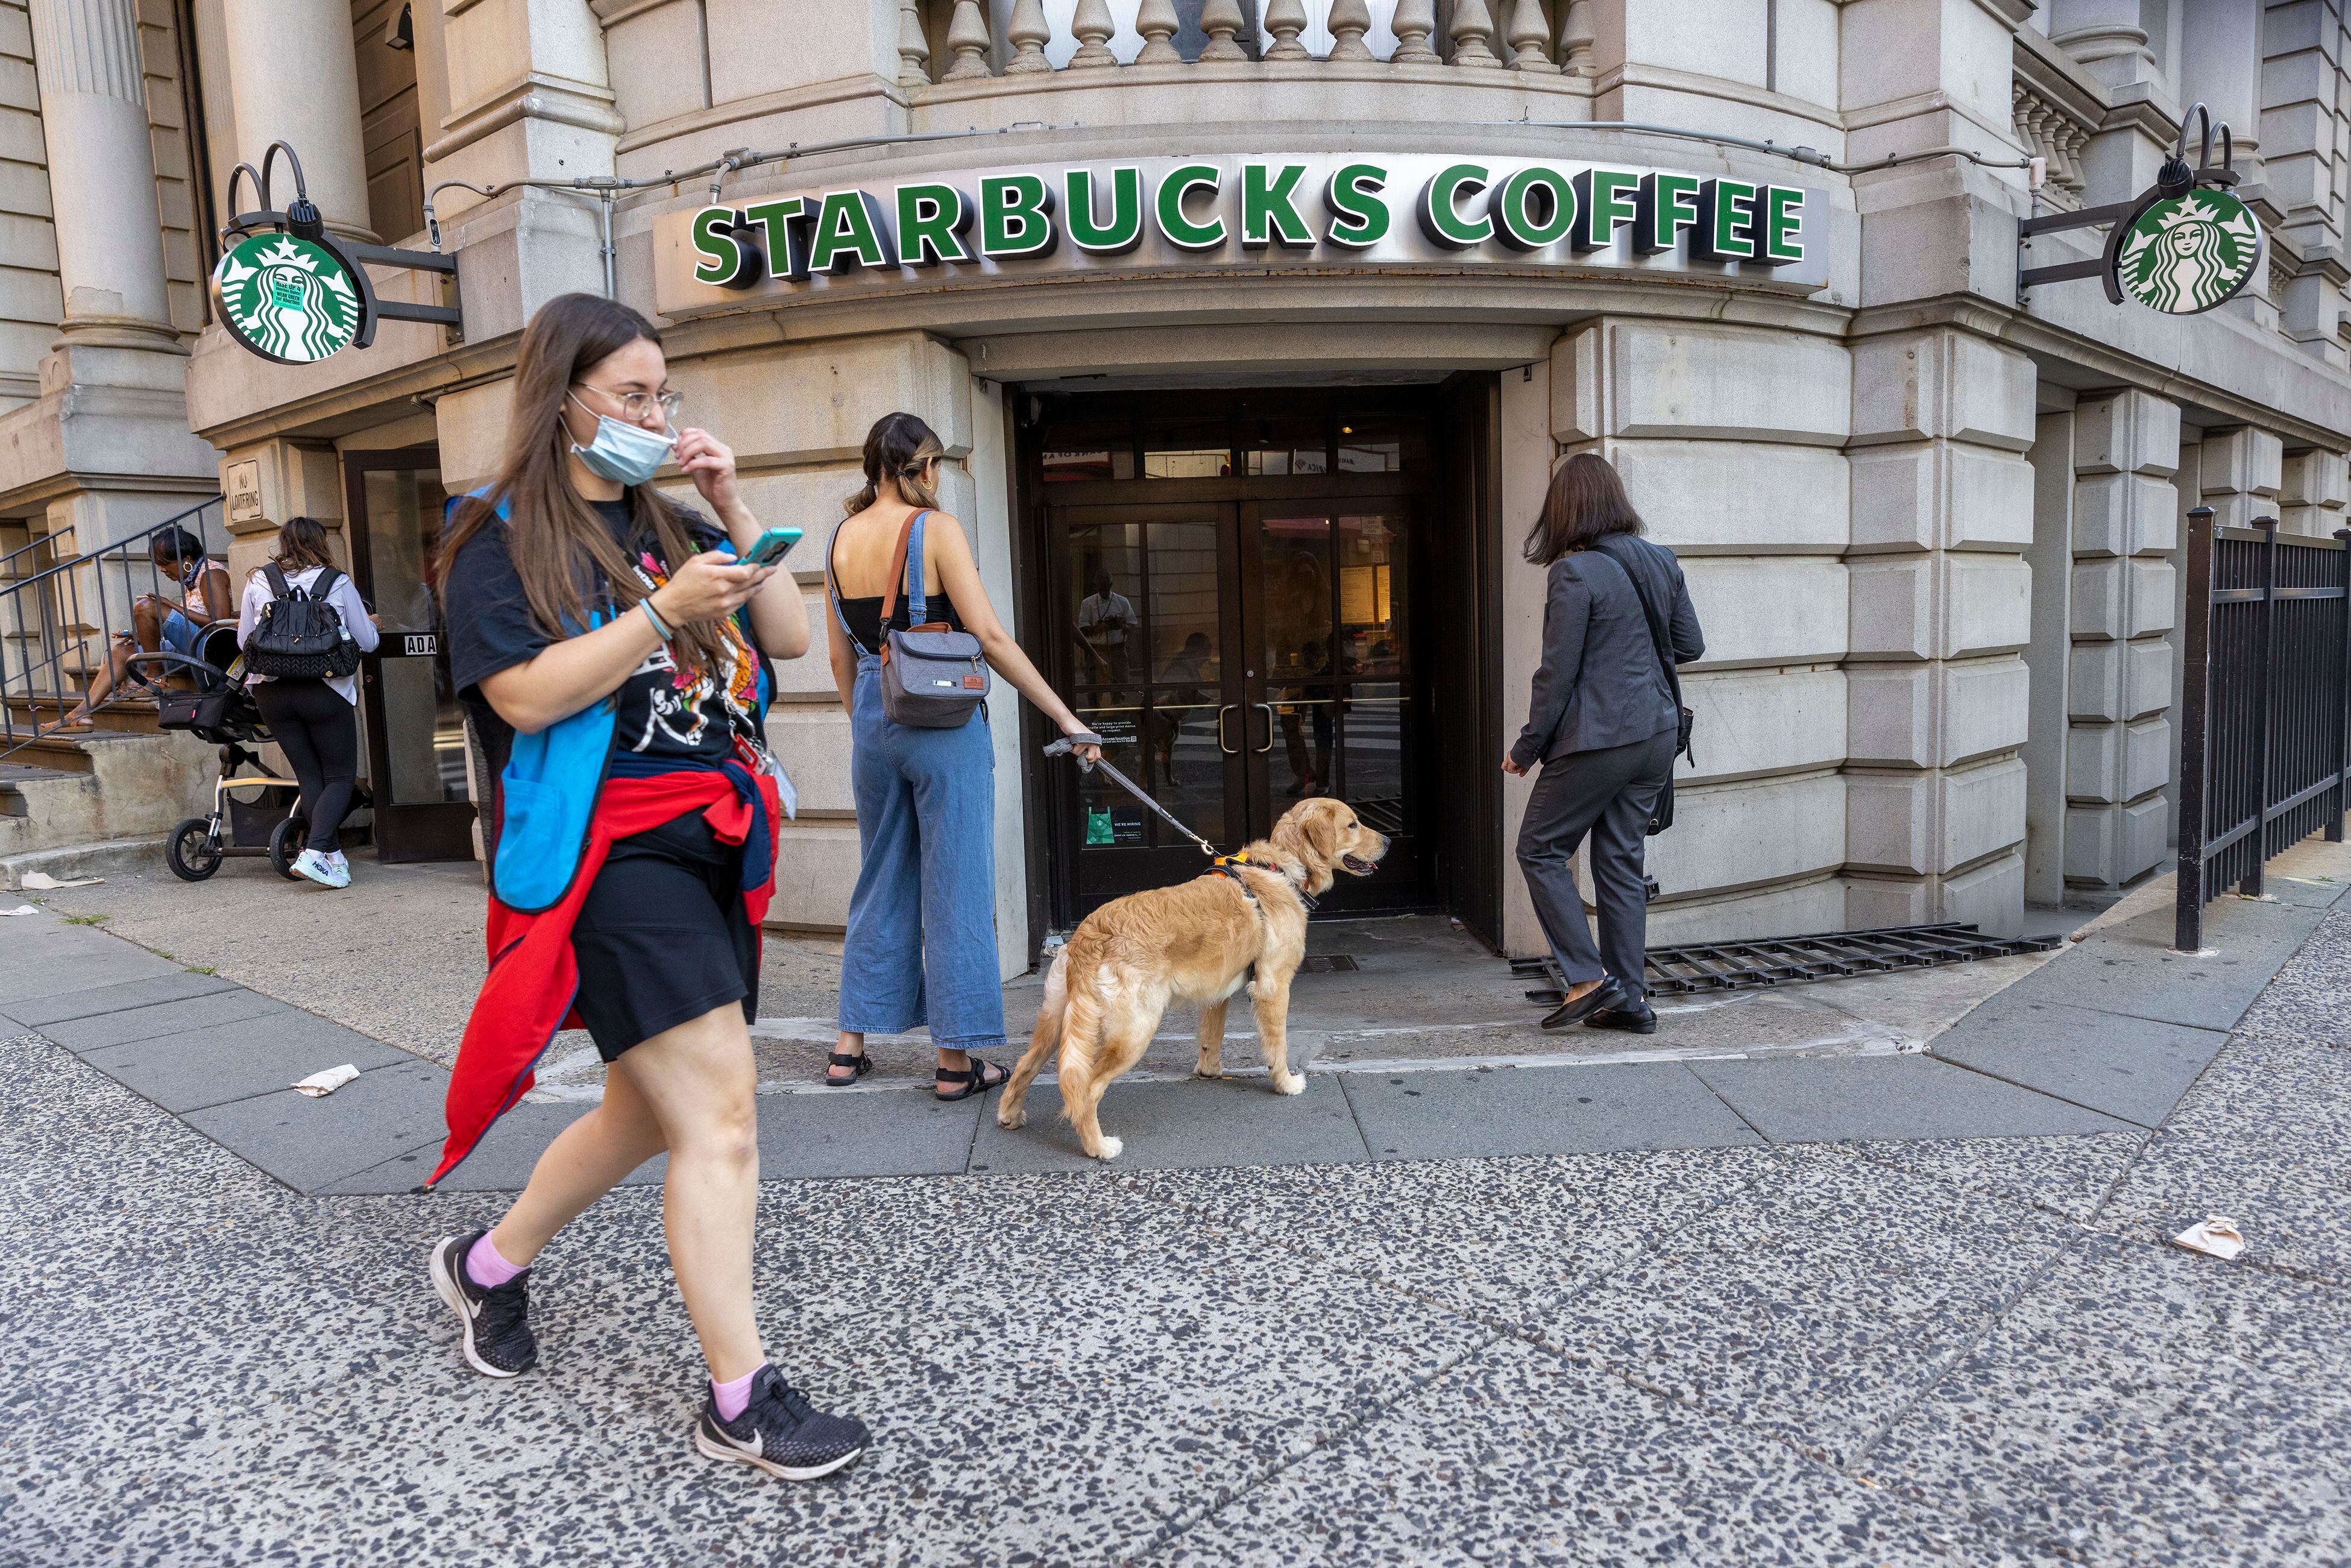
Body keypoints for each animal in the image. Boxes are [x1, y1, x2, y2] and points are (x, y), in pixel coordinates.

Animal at [1001, 804, 1382, 1161]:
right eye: (1353, 824)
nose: (1390, 842)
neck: (1278, 868)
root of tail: (1092, 935)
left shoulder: (1217, 992)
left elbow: (1211, 1037)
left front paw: (1210, 1071)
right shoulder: (1273, 987)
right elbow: (1279, 1047)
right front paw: (1286, 1083)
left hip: (1057, 1020)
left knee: (1025, 1066)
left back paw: (1010, 1116)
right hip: (1135, 1031)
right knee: (1086, 1090)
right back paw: (1099, 1147)